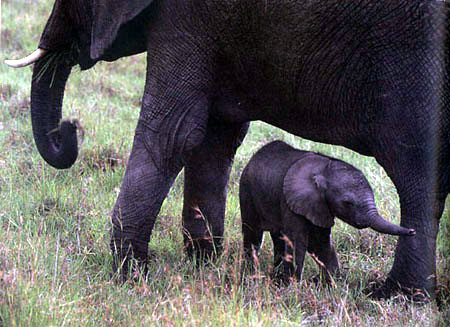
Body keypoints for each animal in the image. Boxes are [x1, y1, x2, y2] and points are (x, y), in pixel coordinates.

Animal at [239, 142, 414, 284]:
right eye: (347, 203)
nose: (412, 231)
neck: (324, 169)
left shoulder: (319, 206)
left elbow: (320, 242)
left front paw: (331, 285)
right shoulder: (290, 200)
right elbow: (298, 241)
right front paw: (293, 287)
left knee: (278, 238)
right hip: (247, 191)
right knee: (253, 235)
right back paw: (250, 276)